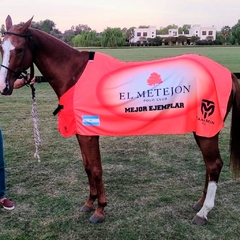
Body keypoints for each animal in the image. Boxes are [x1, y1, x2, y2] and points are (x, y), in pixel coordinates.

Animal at [0, 15, 240, 225]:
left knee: (214, 165)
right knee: (209, 166)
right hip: (201, 130)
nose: (4, 87)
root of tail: (228, 73)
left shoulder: (90, 134)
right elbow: (87, 167)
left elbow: (96, 169)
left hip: (206, 130)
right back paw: (200, 203)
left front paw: (100, 210)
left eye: (19, 49)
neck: (76, 74)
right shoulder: (82, 133)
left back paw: (203, 212)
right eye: (2, 48)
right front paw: (89, 202)